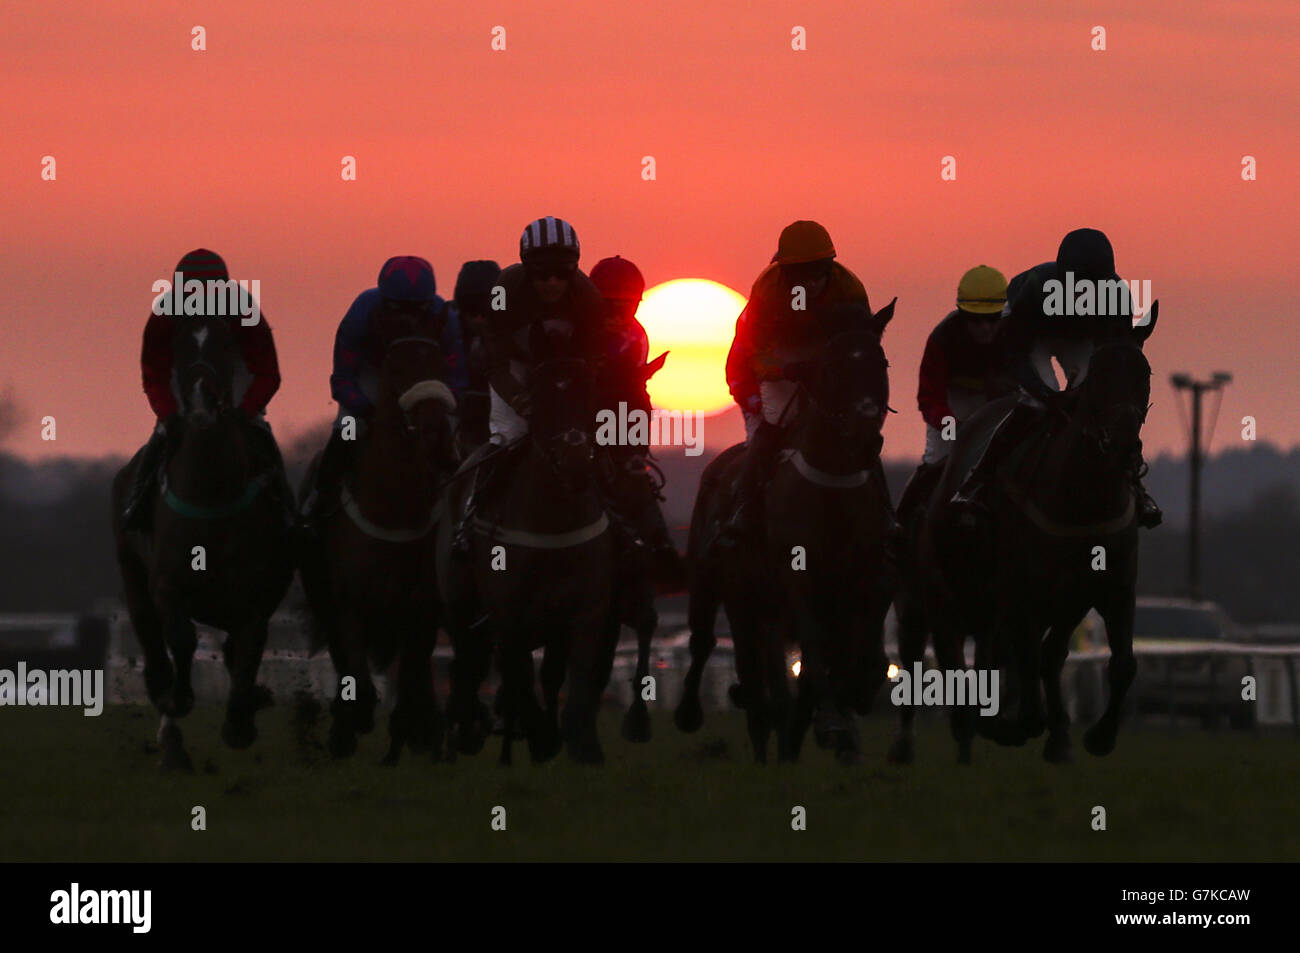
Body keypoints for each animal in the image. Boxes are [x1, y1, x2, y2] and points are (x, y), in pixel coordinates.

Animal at [109, 315, 295, 769]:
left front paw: (240, 721)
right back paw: (171, 738)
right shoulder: (166, 584)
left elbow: (247, 645)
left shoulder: (259, 592)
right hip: (132, 576)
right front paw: (179, 701)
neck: (212, 494)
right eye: (176, 344)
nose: (200, 406)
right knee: (154, 648)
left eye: (227, 342)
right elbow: (181, 639)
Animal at [297, 308, 460, 764]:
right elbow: (359, 679)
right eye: (397, 369)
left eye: (441, 366)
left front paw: (412, 736)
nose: (437, 438)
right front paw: (352, 723)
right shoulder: (349, 604)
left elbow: (410, 681)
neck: (393, 506)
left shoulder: (422, 609)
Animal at [436, 353, 618, 764]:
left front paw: (584, 748)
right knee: (467, 664)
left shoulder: (586, 610)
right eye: (544, 402)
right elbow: (517, 674)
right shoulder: (509, 614)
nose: (575, 460)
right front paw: (539, 736)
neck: (554, 525)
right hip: (459, 604)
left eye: (587, 398)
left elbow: (576, 682)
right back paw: (464, 731)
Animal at [676, 304, 899, 764]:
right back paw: (703, 716)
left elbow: (844, 652)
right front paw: (831, 721)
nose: (865, 430)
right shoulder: (796, 575)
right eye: (831, 368)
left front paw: (849, 703)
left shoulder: (860, 579)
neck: (832, 480)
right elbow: (811, 646)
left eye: (881, 363)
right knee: (710, 645)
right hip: (722, 592)